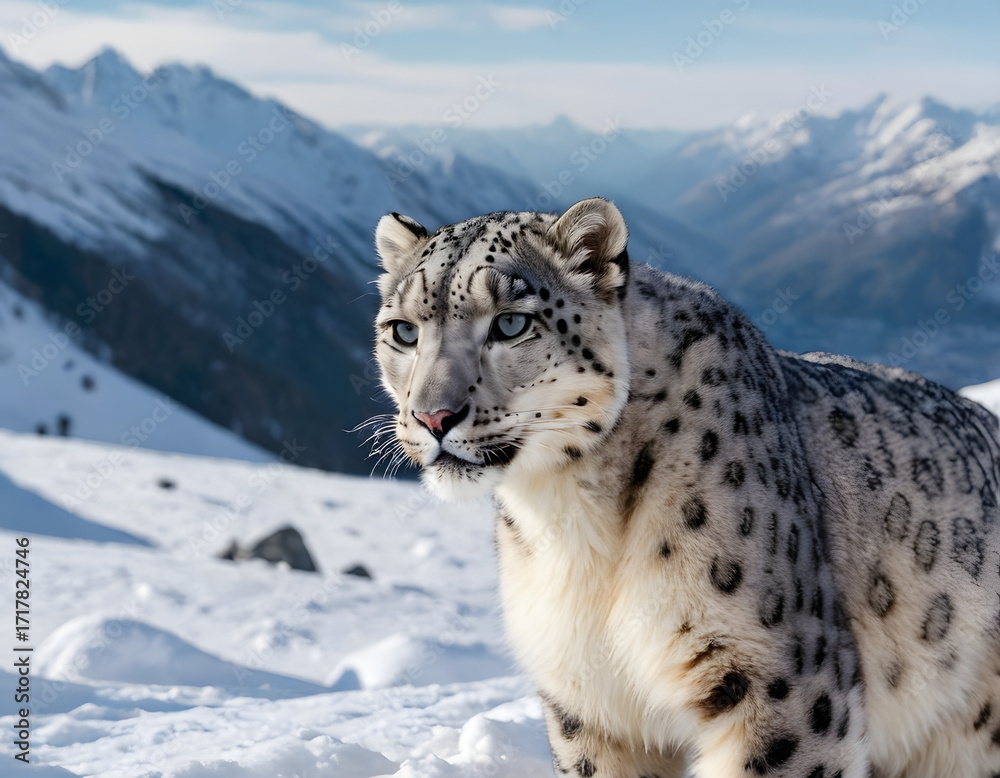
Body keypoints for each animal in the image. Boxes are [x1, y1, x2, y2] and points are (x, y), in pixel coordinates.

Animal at [371, 197, 1000, 777]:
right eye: (403, 330)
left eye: (510, 322)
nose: (432, 416)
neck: (570, 523)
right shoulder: (588, 701)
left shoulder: (776, 681)